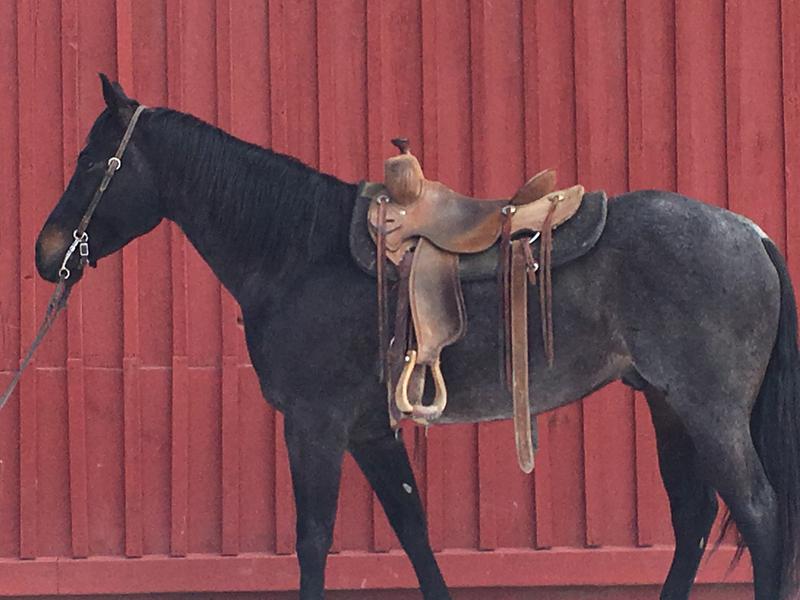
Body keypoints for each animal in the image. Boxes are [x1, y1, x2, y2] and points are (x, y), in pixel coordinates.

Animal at [33, 75, 800, 600]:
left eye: (93, 161)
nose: (47, 254)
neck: (296, 252)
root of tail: (751, 232)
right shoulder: (371, 428)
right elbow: (412, 528)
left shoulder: (315, 425)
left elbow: (313, 540)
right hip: (668, 404)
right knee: (695, 516)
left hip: (711, 411)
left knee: (761, 514)